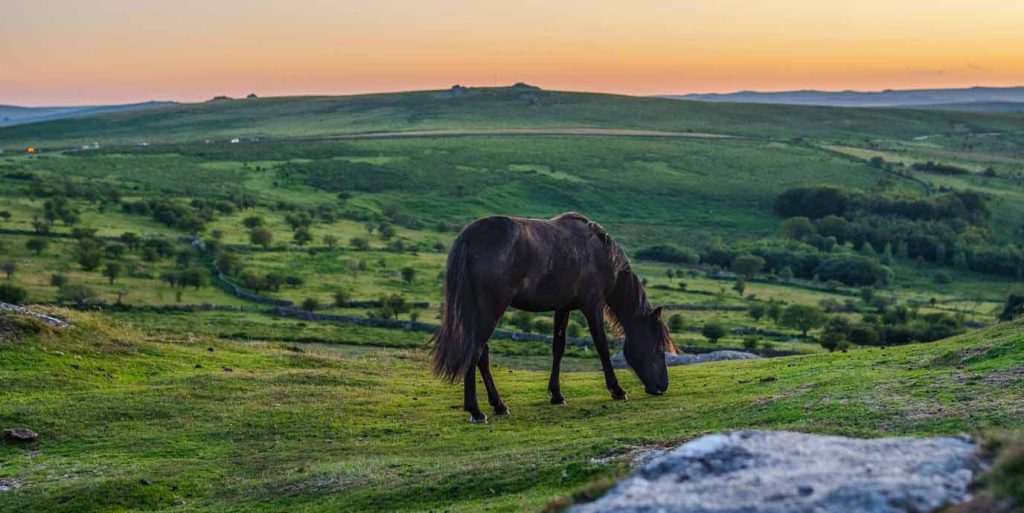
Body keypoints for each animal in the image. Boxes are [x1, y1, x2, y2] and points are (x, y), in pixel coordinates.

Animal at [431, 212, 676, 423]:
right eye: (657, 347)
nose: (663, 386)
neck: (600, 253)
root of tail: (468, 238)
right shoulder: (592, 306)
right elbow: (602, 347)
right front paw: (617, 390)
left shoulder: (563, 307)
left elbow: (558, 347)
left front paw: (556, 394)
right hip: (491, 309)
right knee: (476, 351)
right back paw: (476, 410)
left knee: (481, 354)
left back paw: (498, 405)